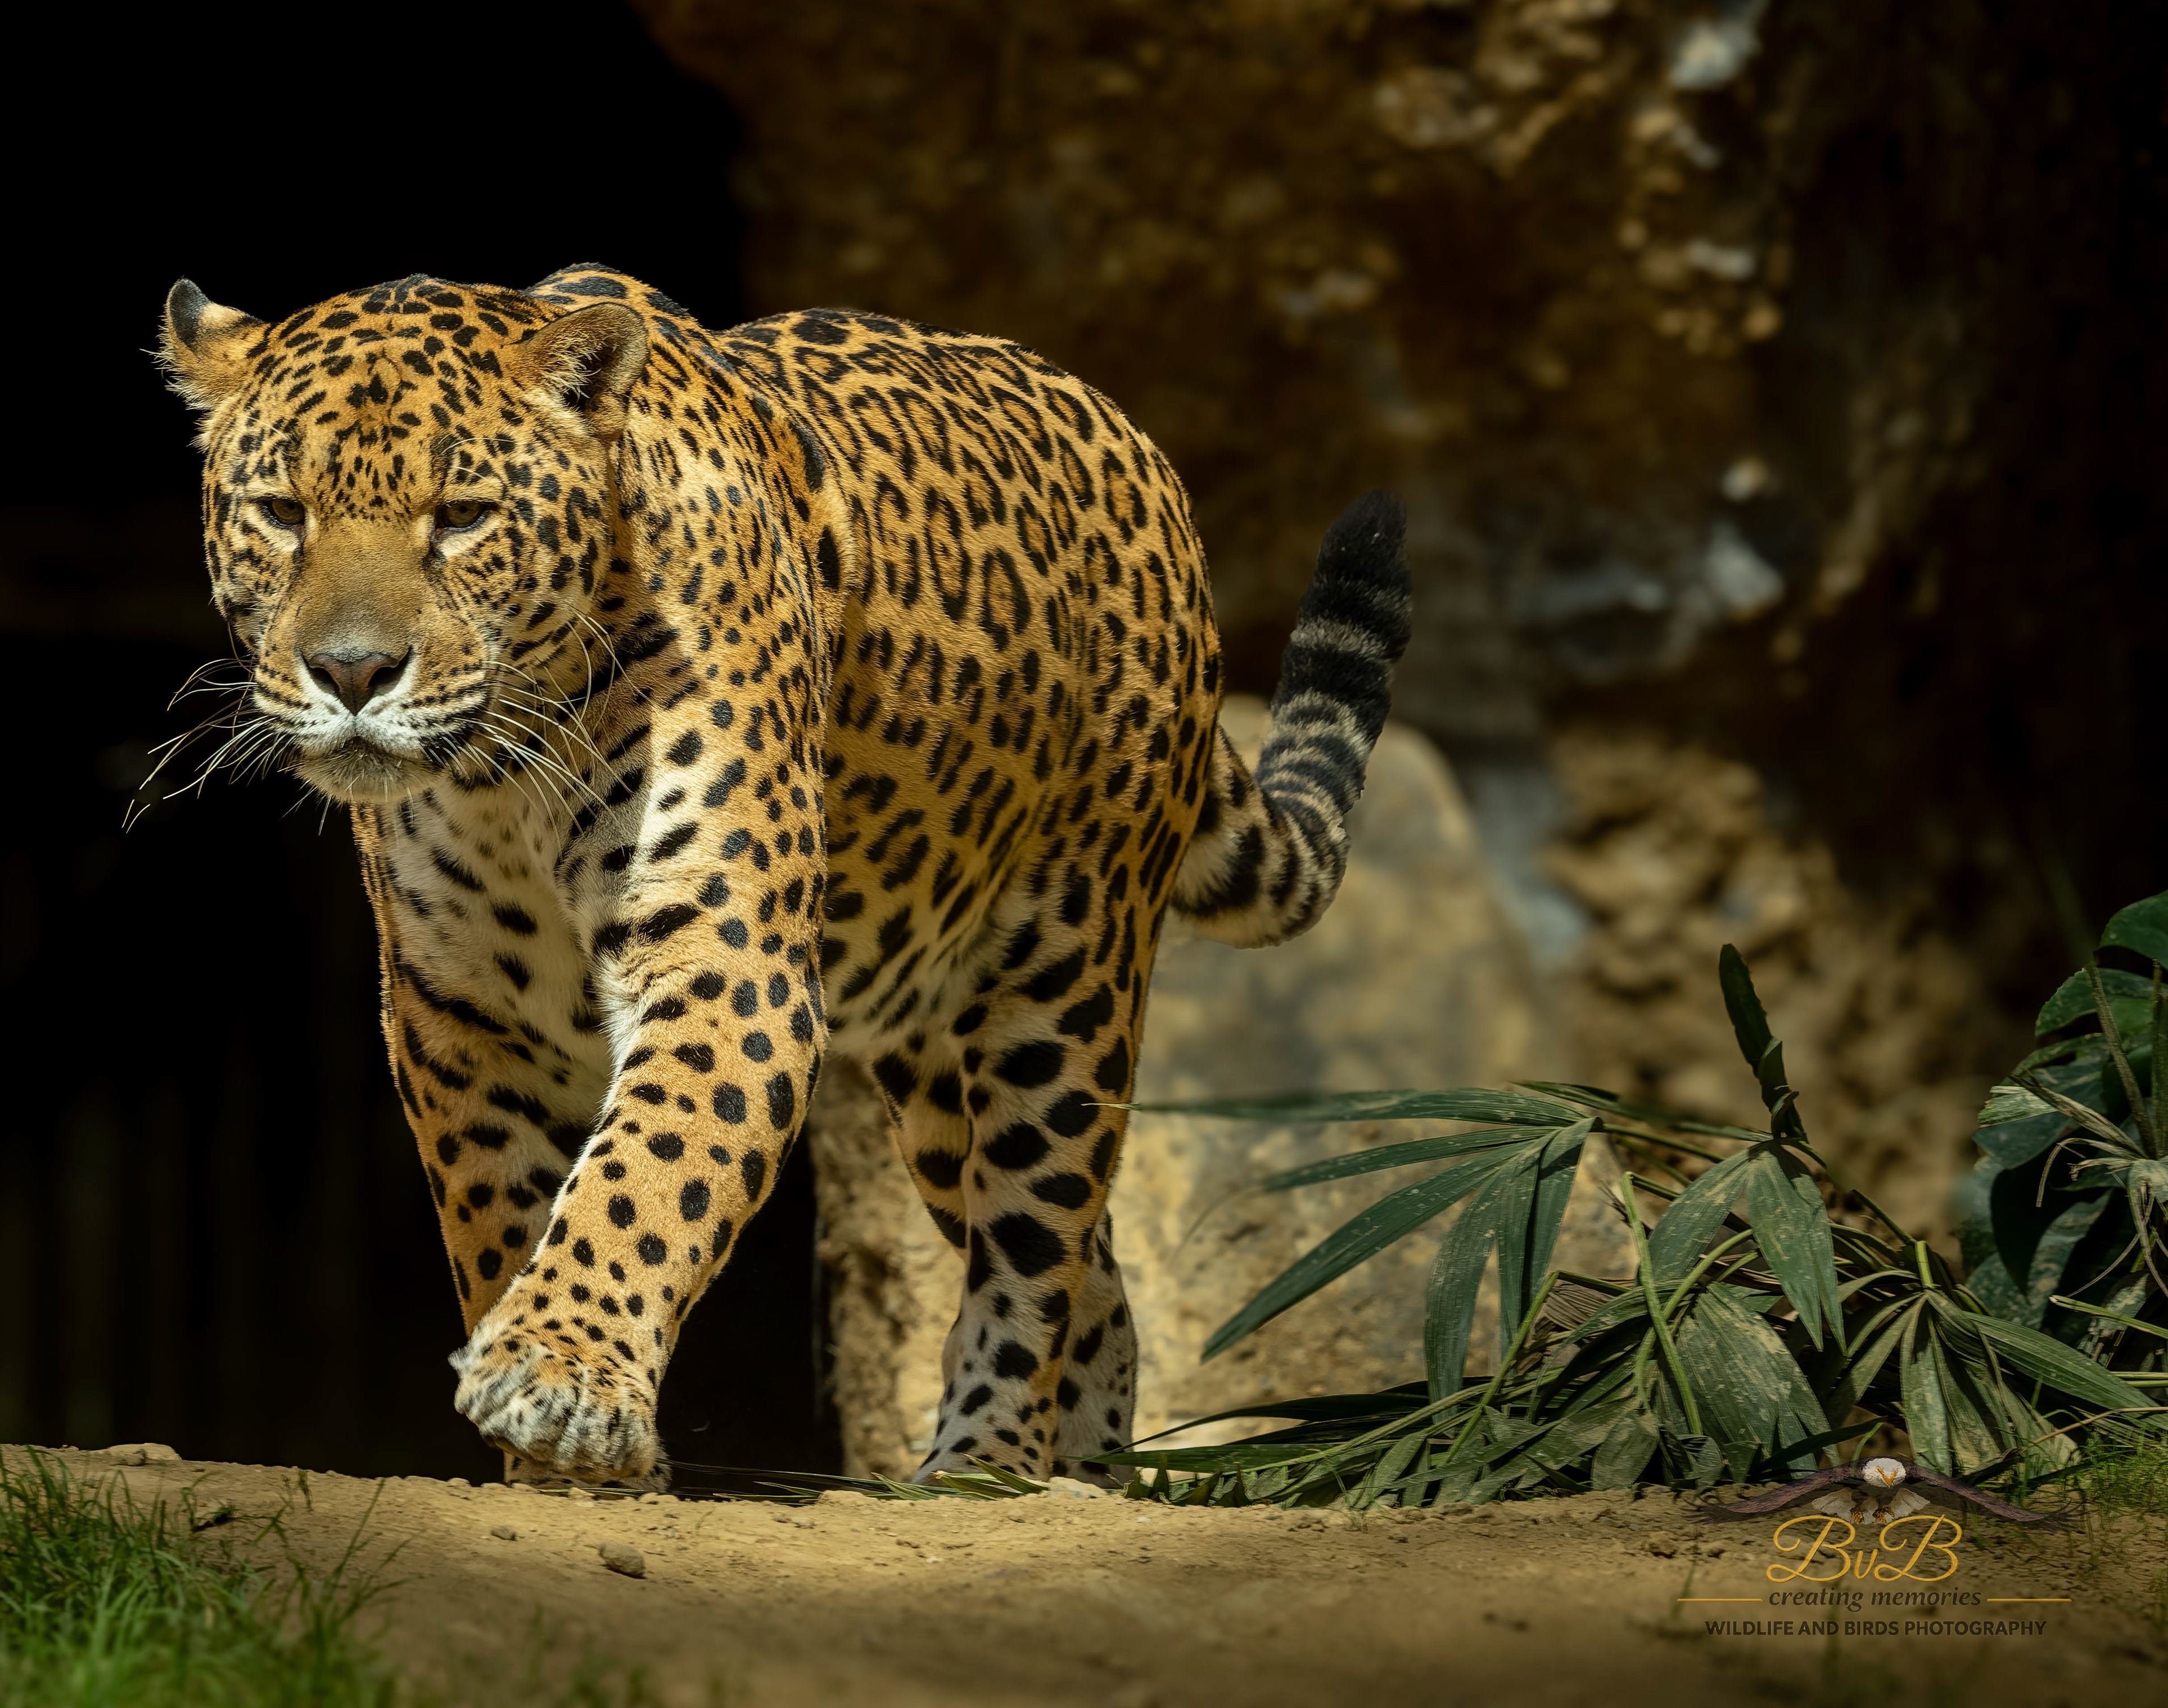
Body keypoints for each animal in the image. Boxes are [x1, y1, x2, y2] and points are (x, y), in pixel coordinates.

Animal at [156, 262, 1411, 1488]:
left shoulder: (728, 962)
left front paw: (558, 1374)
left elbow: (645, 1171)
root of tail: (1139, 449)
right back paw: (1090, 1471)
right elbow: (501, 1207)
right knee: (1093, 1278)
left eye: (462, 519)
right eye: (282, 514)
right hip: (934, 1081)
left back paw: (986, 1465)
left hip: (1068, 982)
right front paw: (554, 1438)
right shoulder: (458, 1010)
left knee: (1037, 1241)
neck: (504, 775)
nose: (352, 670)